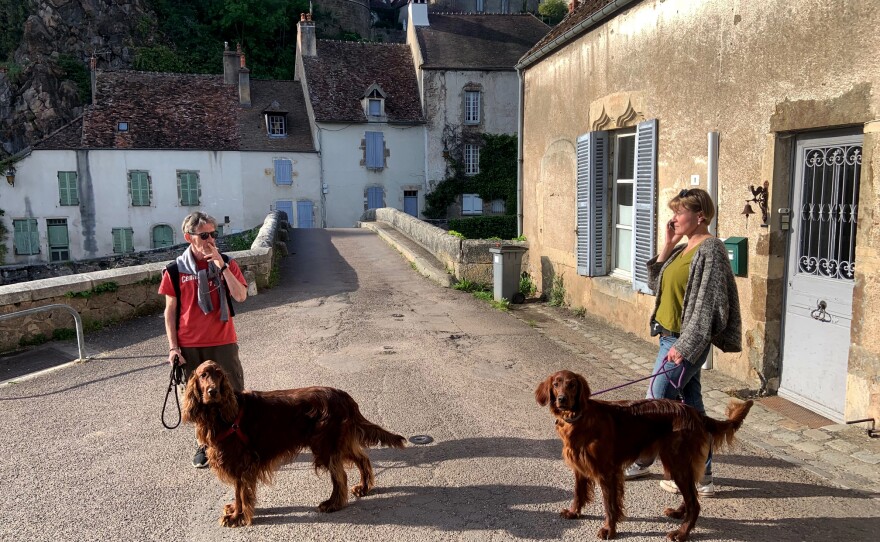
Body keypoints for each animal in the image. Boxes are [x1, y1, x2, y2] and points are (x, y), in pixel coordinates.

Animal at [185, 364, 410, 528]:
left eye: (219, 376)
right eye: (203, 375)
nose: (213, 391)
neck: (220, 415)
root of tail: (344, 396)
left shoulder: (241, 463)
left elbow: (241, 492)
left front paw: (237, 517)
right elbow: (238, 492)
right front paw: (234, 511)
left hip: (325, 445)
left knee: (340, 477)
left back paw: (332, 504)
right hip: (338, 443)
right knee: (362, 458)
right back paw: (363, 488)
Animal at [532, 372, 752, 540]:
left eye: (572, 384)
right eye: (556, 384)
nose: (562, 399)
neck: (579, 418)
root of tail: (695, 413)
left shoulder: (607, 472)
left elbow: (609, 505)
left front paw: (609, 529)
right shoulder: (580, 466)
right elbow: (578, 493)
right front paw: (574, 512)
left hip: (677, 463)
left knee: (695, 503)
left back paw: (681, 533)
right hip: (679, 463)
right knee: (692, 495)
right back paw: (679, 513)